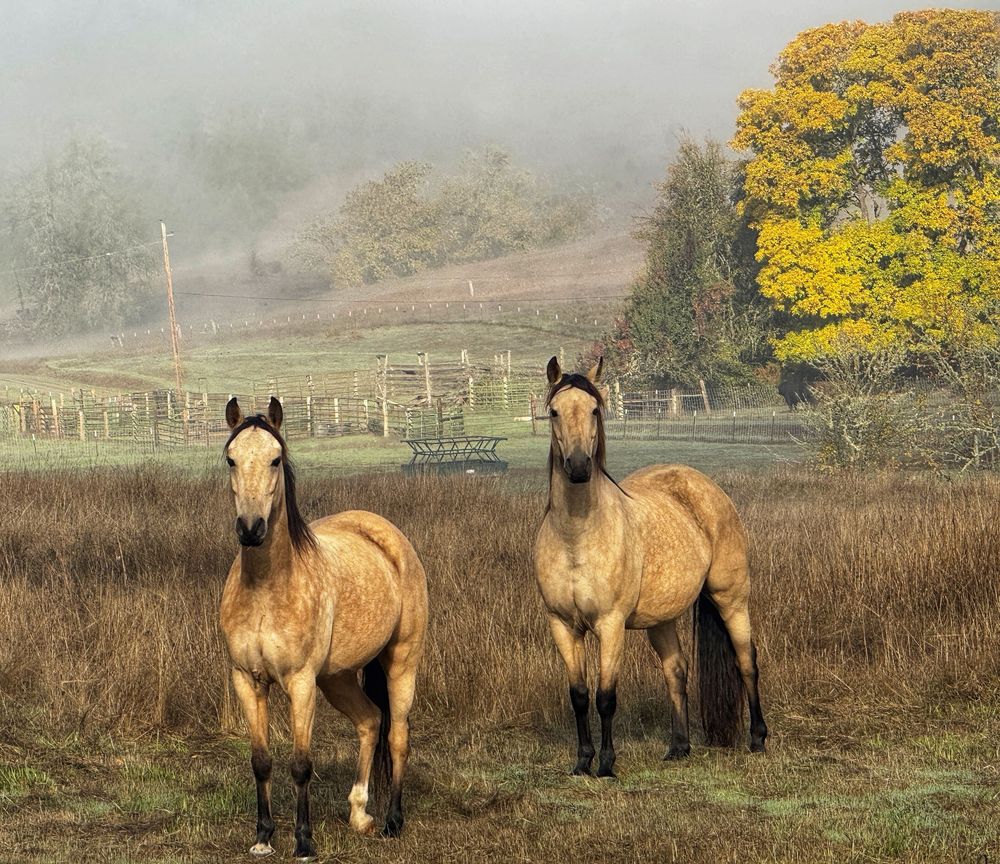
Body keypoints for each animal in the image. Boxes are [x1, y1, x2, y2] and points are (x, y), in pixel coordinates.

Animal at [219, 397, 428, 860]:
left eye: (275, 459)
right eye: (231, 459)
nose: (251, 529)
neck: (266, 589)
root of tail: (388, 535)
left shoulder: (300, 683)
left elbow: (301, 765)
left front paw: (303, 842)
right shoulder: (247, 680)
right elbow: (260, 760)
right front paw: (263, 837)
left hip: (402, 662)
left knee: (398, 736)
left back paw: (393, 822)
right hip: (337, 678)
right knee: (370, 721)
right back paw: (360, 814)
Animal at [532, 358, 767, 778]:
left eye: (595, 411)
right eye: (554, 412)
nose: (579, 467)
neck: (576, 537)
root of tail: (703, 484)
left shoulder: (610, 625)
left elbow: (606, 697)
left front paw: (606, 764)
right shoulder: (561, 625)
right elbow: (579, 695)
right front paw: (582, 762)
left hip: (731, 599)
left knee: (746, 662)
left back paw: (757, 739)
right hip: (662, 620)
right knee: (676, 672)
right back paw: (679, 747)